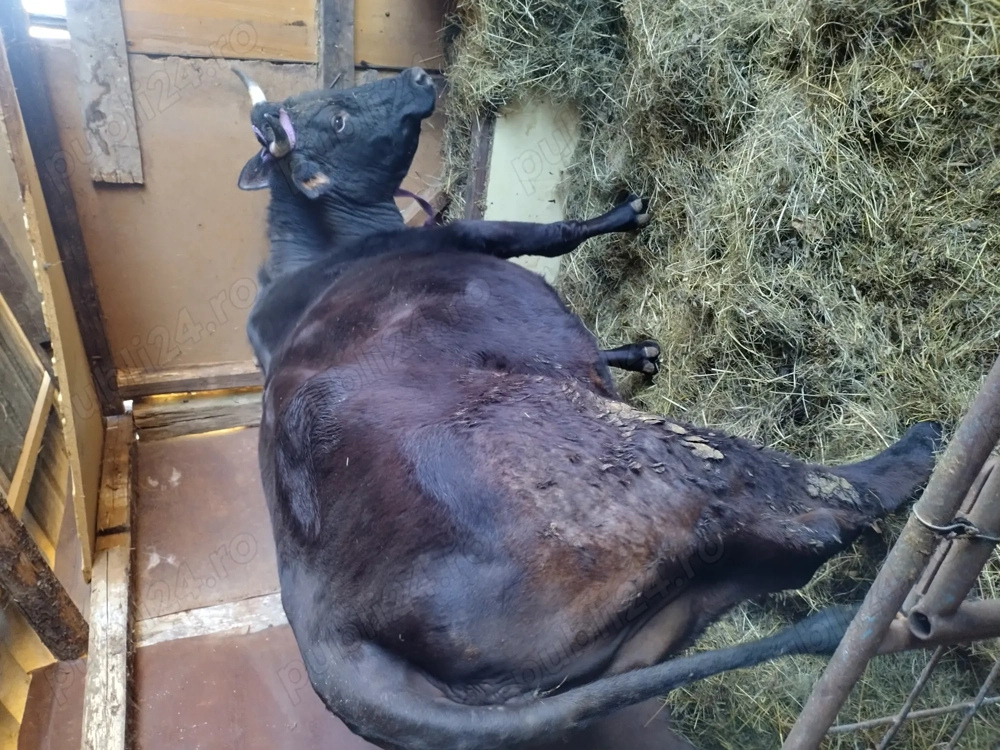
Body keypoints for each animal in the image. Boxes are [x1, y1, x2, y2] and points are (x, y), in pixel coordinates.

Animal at [233, 66, 942, 750]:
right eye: (337, 118)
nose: (415, 77)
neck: (327, 251)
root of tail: (325, 622)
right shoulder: (476, 233)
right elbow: (553, 235)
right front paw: (625, 213)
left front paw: (638, 351)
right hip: (646, 459)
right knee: (807, 506)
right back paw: (916, 454)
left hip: (643, 629)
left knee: (782, 558)